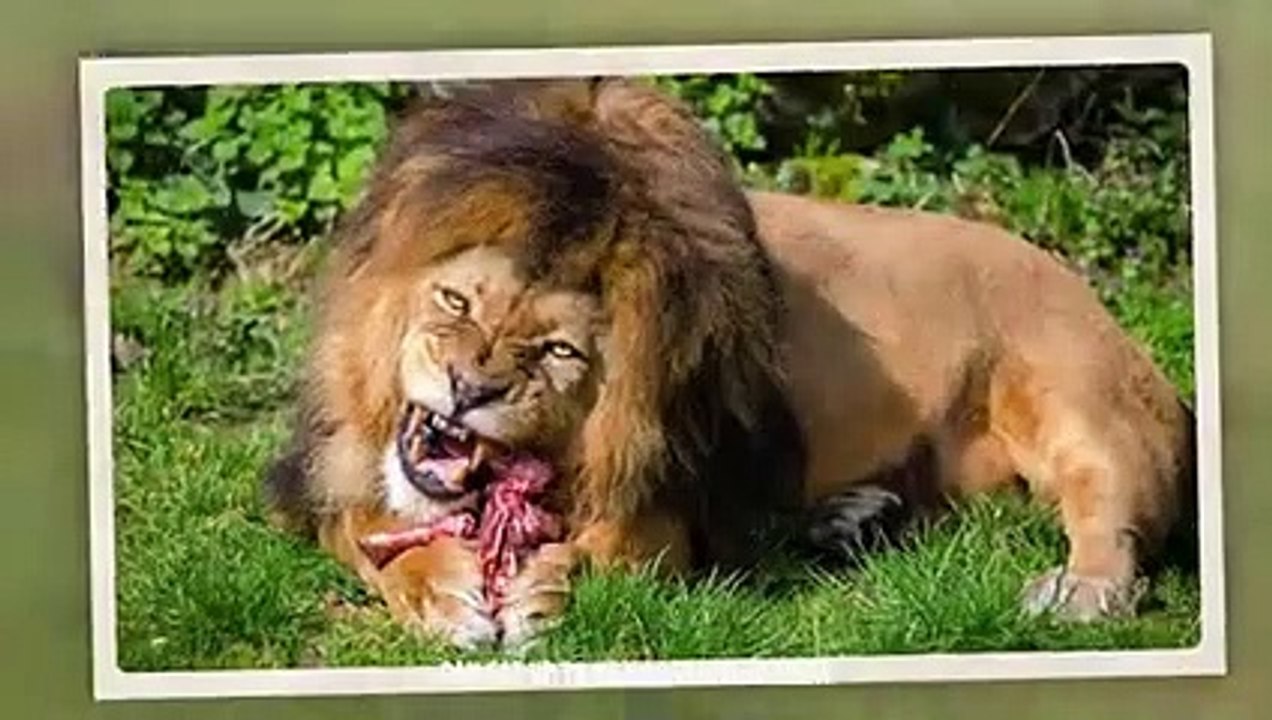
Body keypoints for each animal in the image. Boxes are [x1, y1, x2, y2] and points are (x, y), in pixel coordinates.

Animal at [262, 77, 1197, 650]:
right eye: (457, 302)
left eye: (561, 350)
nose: (469, 389)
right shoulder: (324, 474)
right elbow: (373, 533)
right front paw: (445, 593)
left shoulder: (672, 504)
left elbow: (611, 549)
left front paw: (541, 588)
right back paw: (851, 517)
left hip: (1074, 393)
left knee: (1113, 507)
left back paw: (1081, 589)